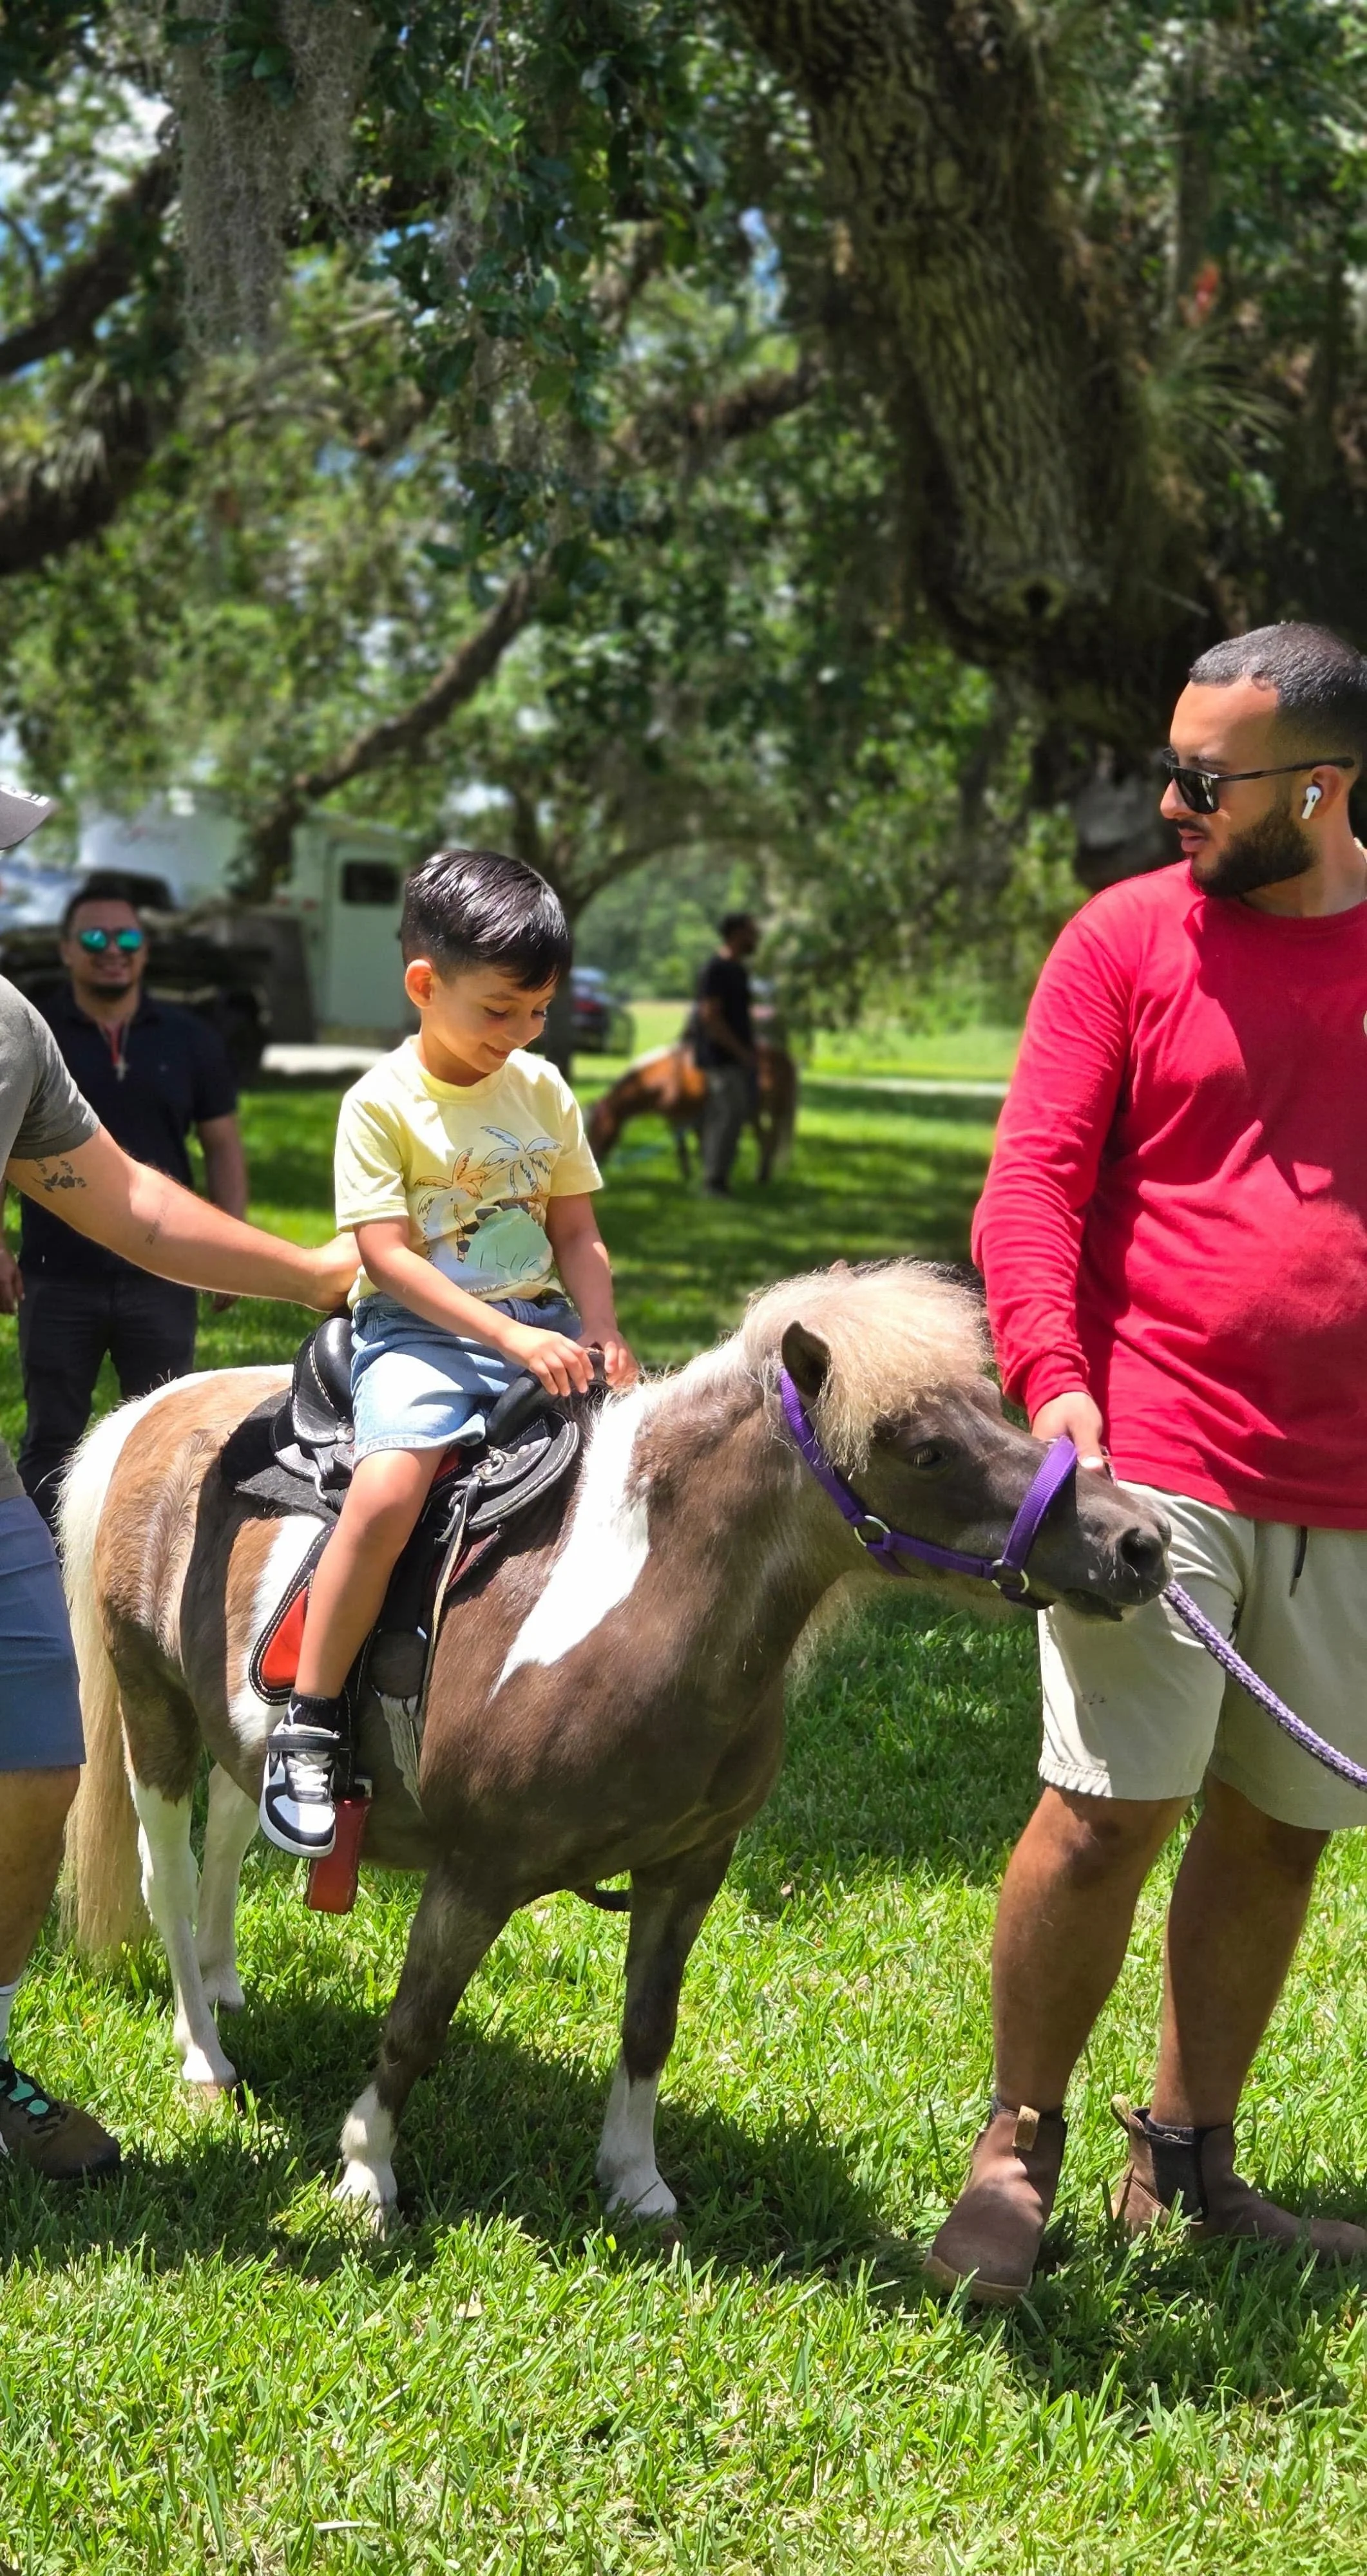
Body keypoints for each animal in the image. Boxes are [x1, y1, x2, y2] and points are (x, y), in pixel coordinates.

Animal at [62, 1261, 1167, 2227]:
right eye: (922, 1447)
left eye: (991, 1407)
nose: (1137, 1542)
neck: (637, 1597)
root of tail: (158, 1408)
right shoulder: (475, 1872)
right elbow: (416, 2024)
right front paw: (367, 2174)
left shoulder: (689, 1871)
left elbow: (648, 2026)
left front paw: (635, 2181)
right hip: (153, 1713)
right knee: (168, 1876)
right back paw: (205, 2057)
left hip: (236, 1736)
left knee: (227, 1842)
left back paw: (221, 1987)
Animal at [587, 1038, 798, 1183]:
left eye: (597, 1129)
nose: (595, 1157)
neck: (671, 1078)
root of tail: (784, 1056)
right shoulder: (675, 1118)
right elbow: (684, 1148)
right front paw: (688, 1174)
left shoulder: (695, 1117)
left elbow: (702, 1144)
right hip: (754, 1113)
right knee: (764, 1139)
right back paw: (761, 1174)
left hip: (776, 1110)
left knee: (771, 1139)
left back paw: (763, 1176)